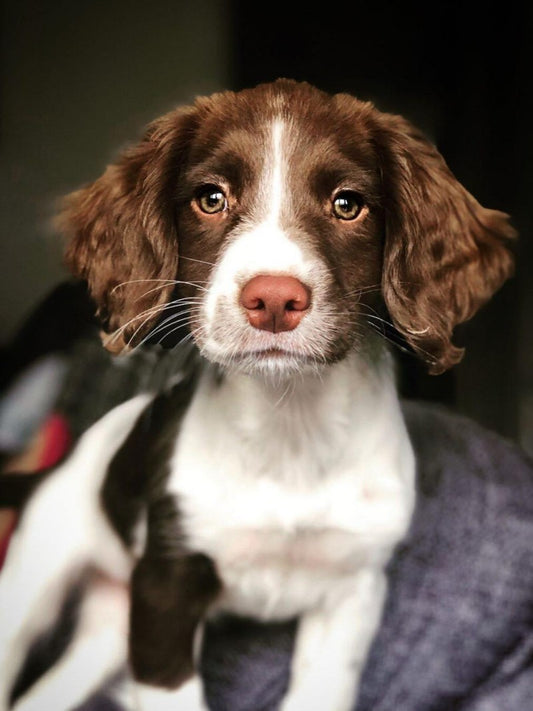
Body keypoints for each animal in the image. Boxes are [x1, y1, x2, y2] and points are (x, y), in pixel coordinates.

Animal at [0, 79, 516, 711]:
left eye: (348, 204)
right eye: (211, 198)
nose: (273, 299)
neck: (288, 422)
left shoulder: (353, 589)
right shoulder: (166, 584)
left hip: (108, 628)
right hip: (40, 568)